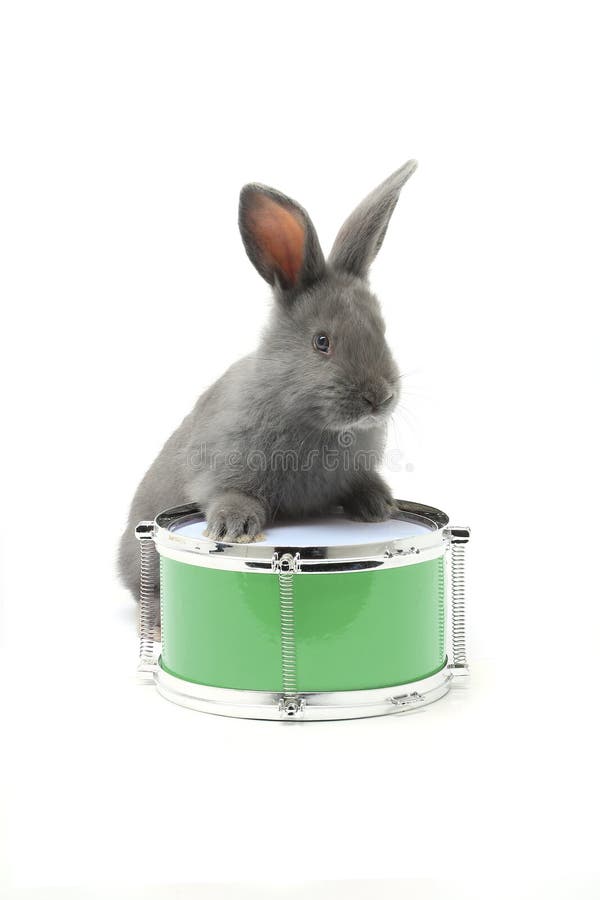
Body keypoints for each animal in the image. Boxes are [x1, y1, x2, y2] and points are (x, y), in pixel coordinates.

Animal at [118, 160, 418, 626]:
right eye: (321, 342)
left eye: (381, 330)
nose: (379, 398)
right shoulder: (219, 467)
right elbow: (227, 494)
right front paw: (233, 527)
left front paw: (380, 505)